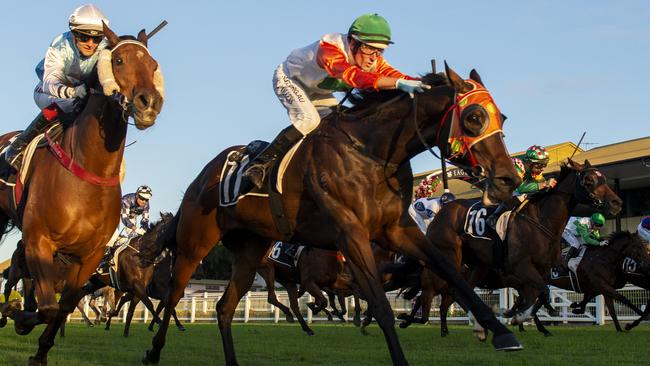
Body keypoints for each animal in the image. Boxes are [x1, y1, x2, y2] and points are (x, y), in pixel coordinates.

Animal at [0, 23, 163, 366]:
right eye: (119, 61)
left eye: (153, 65)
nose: (149, 103)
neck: (88, 172)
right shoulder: (38, 241)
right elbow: (47, 307)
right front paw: (16, 317)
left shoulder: (88, 258)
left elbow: (61, 308)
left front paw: (40, 351)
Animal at [143, 66, 520, 366]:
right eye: (474, 117)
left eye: (502, 118)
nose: (508, 179)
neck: (371, 153)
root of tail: (203, 174)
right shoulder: (350, 233)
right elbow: (379, 304)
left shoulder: (396, 230)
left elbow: (452, 275)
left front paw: (502, 332)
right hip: (195, 242)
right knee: (173, 295)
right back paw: (153, 351)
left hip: (252, 249)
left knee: (224, 307)